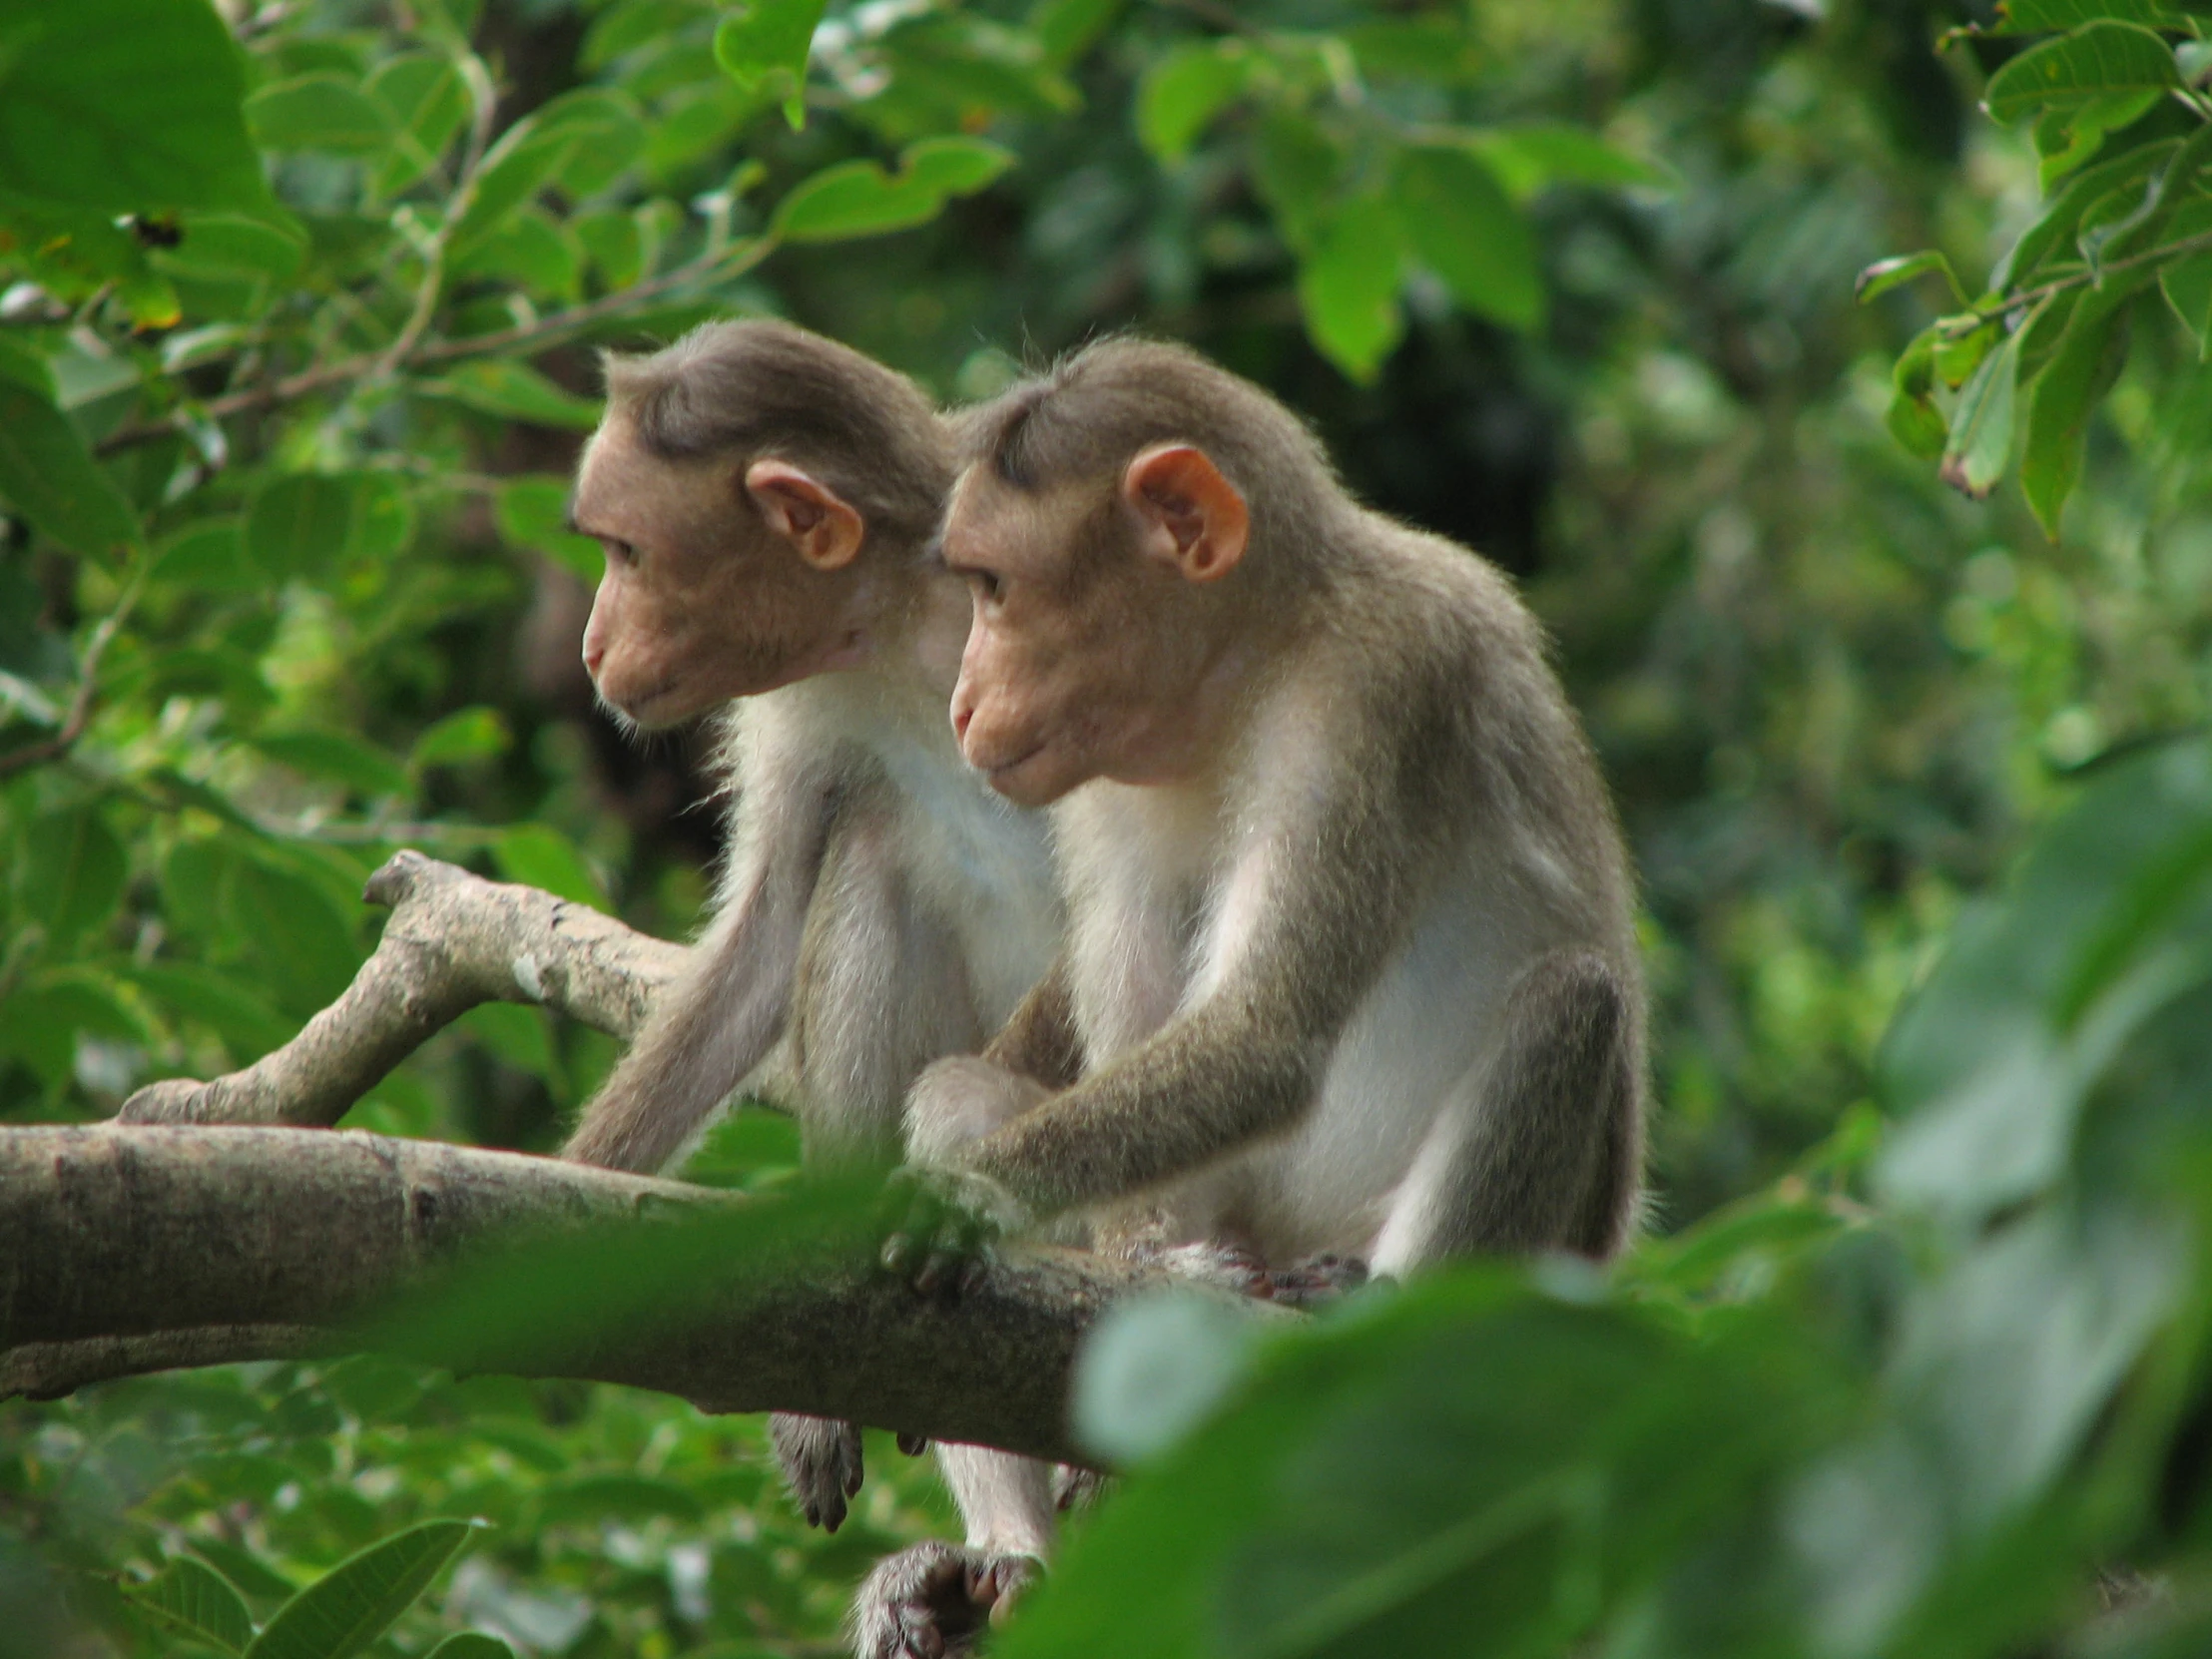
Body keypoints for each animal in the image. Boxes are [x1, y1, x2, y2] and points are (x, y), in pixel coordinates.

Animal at [561, 320, 1061, 1548]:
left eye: (627, 553)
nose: (590, 645)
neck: (907, 628)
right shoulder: (802, 696)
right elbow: (769, 929)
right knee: (873, 850)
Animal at [844, 340, 1645, 1659]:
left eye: (994, 589)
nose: (961, 698)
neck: (1253, 667)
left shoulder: (1381, 684)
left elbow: (1265, 1038)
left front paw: (969, 1195)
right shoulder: (1104, 783)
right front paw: (1143, 1273)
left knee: (1569, 1006)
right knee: (959, 1088)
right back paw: (1006, 1567)